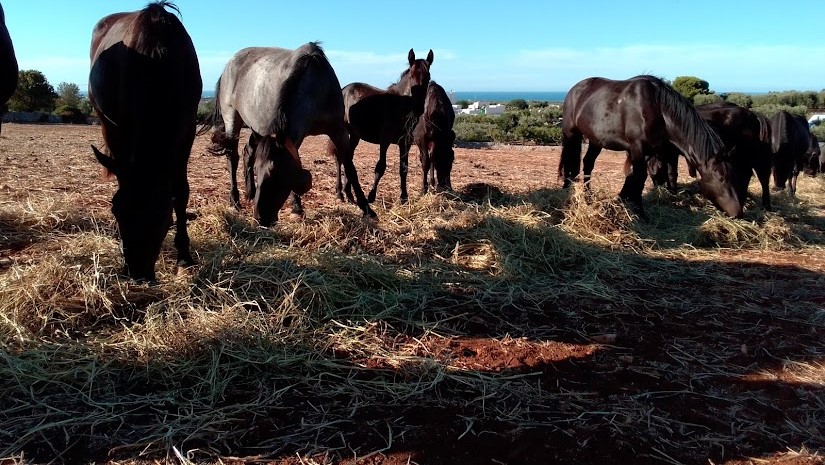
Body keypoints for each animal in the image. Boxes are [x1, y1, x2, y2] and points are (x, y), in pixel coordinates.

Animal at [88, 1, 201, 281]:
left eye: (162, 216)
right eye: (116, 210)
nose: (137, 273)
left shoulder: (188, 129)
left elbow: (181, 191)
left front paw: (184, 255)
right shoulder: (121, 127)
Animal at [200, 43, 375, 226]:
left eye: (277, 173)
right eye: (258, 171)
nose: (260, 218)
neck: (316, 87)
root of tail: (229, 65)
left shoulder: (338, 131)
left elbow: (350, 168)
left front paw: (367, 209)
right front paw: (297, 207)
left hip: (257, 128)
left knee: (247, 151)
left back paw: (250, 192)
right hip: (232, 118)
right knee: (232, 157)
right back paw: (235, 200)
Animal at [335, 49, 433, 204]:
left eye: (428, 78)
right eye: (411, 77)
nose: (418, 108)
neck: (399, 106)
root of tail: (344, 89)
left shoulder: (405, 143)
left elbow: (403, 169)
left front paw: (404, 197)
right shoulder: (384, 140)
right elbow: (380, 167)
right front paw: (371, 196)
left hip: (355, 135)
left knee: (348, 157)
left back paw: (349, 194)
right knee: (340, 158)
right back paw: (340, 193)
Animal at [559, 75, 742, 218]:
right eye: (721, 178)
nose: (738, 213)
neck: (658, 109)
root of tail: (574, 89)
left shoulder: (646, 152)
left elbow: (634, 176)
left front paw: (622, 199)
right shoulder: (638, 148)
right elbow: (640, 178)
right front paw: (639, 212)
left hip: (596, 141)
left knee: (588, 163)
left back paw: (587, 196)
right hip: (571, 134)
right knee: (569, 159)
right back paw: (567, 192)